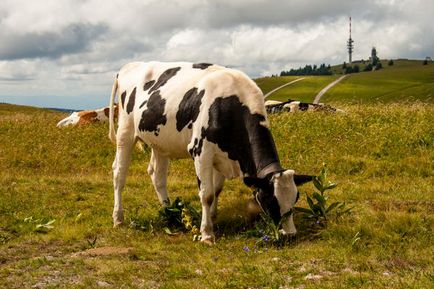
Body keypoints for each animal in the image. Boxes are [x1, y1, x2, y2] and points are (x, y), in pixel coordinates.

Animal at [108, 61, 312, 243]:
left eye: (295, 199)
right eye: (271, 201)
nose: (290, 234)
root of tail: (131, 65)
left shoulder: (222, 156)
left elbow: (216, 189)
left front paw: (213, 218)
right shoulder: (201, 151)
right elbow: (206, 194)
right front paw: (206, 233)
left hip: (160, 143)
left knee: (157, 175)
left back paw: (170, 214)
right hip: (125, 131)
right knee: (119, 173)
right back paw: (118, 218)